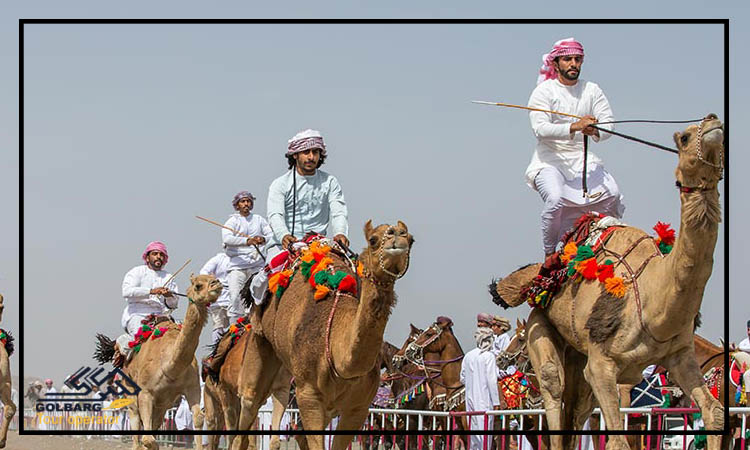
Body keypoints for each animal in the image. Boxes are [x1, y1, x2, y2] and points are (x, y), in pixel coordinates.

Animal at [95, 274, 223, 450]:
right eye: (198, 285)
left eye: (213, 277)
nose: (217, 284)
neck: (170, 366)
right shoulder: (145, 393)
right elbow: (148, 440)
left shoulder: (192, 389)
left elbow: (198, 418)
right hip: (130, 390)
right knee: (135, 421)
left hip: (163, 404)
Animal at [231, 221, 414, 450]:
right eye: (373, 240)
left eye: (411, 240)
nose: (398, 234)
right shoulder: (309, 396)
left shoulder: (358, 407)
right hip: (260, 340)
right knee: (249, 403)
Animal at [494, 115, 728, 450]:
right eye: (684, 137)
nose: (712, 121)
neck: (654, 297)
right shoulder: (601, 364)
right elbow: (617, 440)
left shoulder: (680, 356)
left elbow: (715, 413)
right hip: (540, 323)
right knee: (553, 391)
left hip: (577, 358)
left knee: (575, 411)